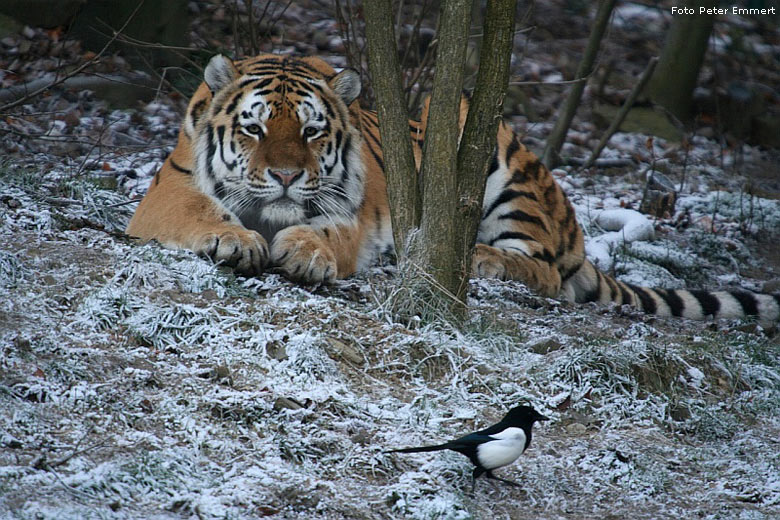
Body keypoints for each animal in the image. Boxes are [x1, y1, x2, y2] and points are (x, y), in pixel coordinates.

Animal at [125, 52, 776, 320]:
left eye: (311, 132)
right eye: (254, 128)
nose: (287, 176)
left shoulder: (349, 211)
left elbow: (328, 234)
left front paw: (306, 253)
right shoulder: (168, 192)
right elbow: (201, 213)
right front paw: (235, 239)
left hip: (484, 140)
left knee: (541, 269)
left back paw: (479, 256)